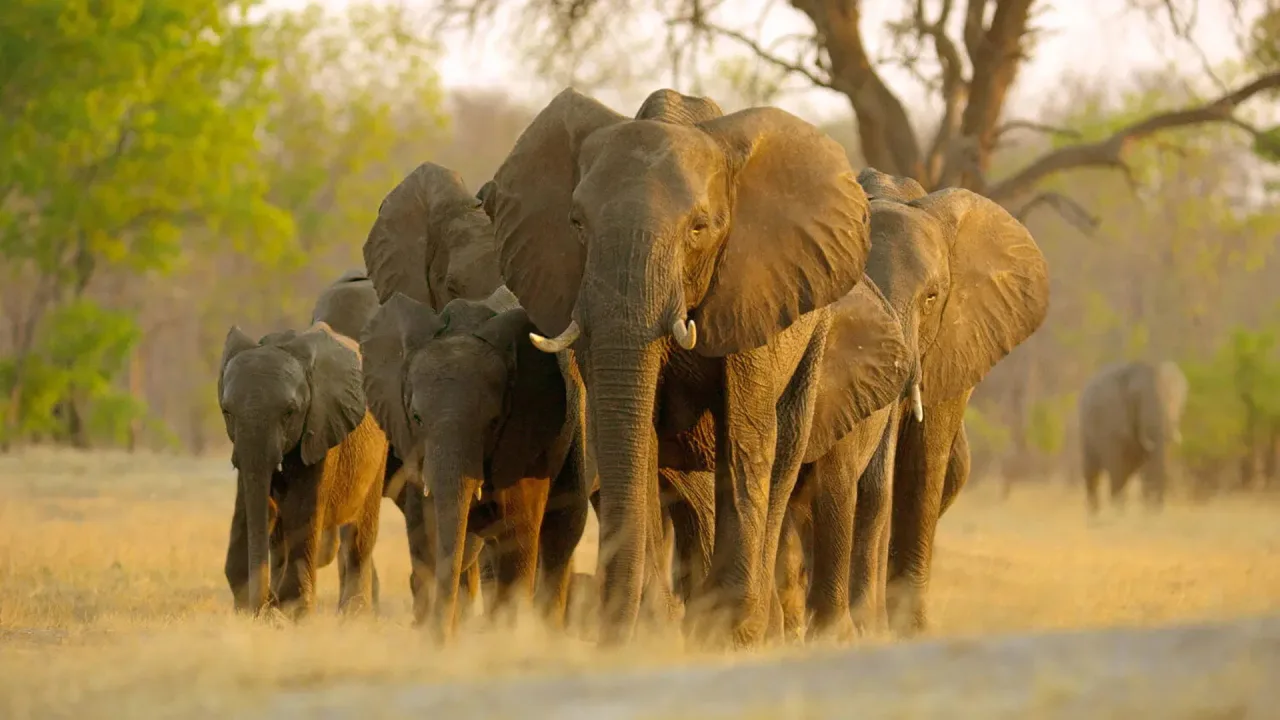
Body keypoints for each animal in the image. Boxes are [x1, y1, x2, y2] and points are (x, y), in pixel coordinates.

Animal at [220, 321, 389, 619]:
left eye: (290, 412)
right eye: (227, 412)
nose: (266, 604)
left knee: (359, 536)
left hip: (380, 450)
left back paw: (354, 616)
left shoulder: (321, 427)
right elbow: (252, 506)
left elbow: (302, 510)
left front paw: (291, 613)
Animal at [481, 87, 887, 647]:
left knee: (782, 454)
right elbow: (635, 436)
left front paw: (729, 630)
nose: (611, 629)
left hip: (816, 334)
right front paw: (654, 628)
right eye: (576, 224)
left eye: (699, 228)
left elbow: (745, 433)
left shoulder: (752, 288)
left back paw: (757, 626)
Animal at [1078, 360, 1188, 514]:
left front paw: (1151, 515)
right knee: (1094, 476)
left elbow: (1150, 467)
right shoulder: (1112, 417)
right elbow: (1116, 467)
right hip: (1085, 433)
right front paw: (1119, 517)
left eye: (1174, 399)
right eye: (1136, 397)